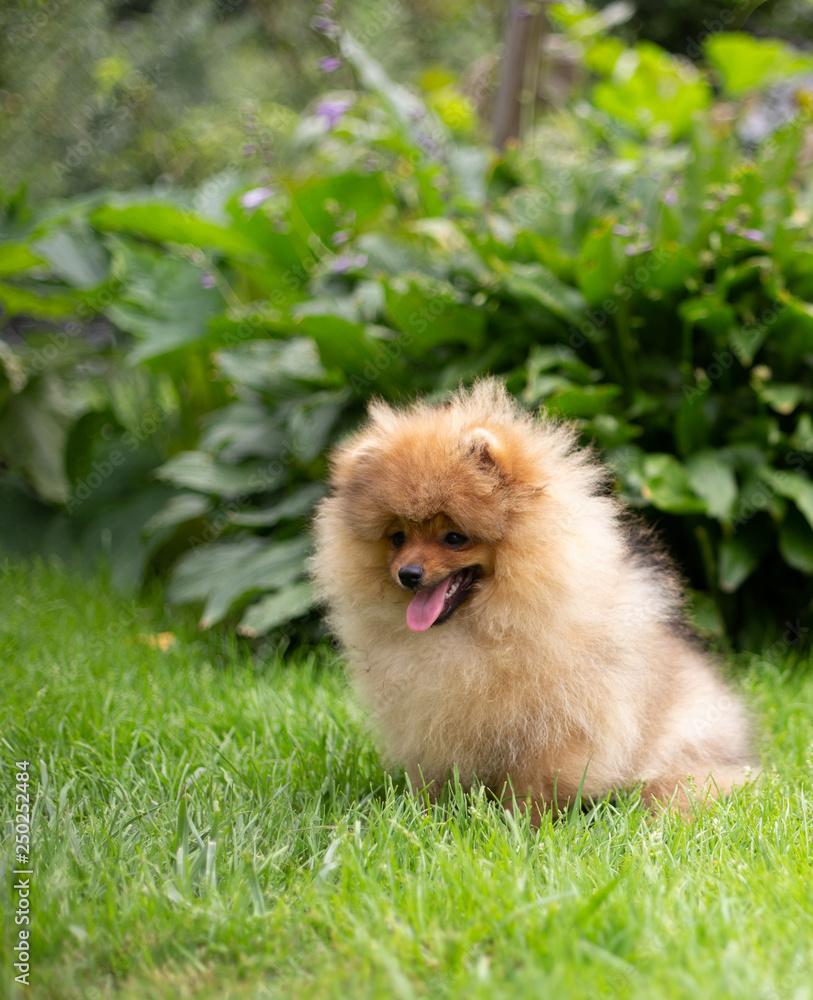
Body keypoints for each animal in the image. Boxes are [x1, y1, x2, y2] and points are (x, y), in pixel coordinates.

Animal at [310, 378, 756, 816]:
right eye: (398, 538)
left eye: (454, 537)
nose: (408, 574)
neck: (479, 627)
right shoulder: (428, 724)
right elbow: (434, 778)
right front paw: (427, 816)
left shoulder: (558, 728)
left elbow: (533, 785)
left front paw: (519, 824)